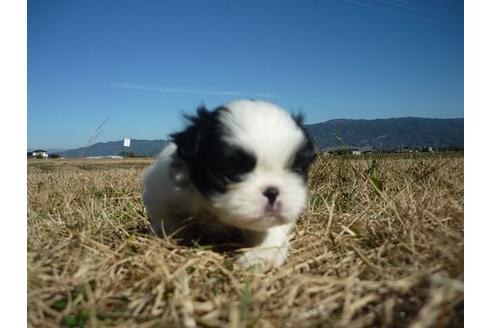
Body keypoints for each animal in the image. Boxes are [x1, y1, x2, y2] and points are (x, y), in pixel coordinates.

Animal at [141, 100, 316, 270]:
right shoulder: (161, 192)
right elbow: (167, 219)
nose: (272, 192)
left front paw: (260, 254)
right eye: (232, 175)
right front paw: (172, 237)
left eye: (297, 170)